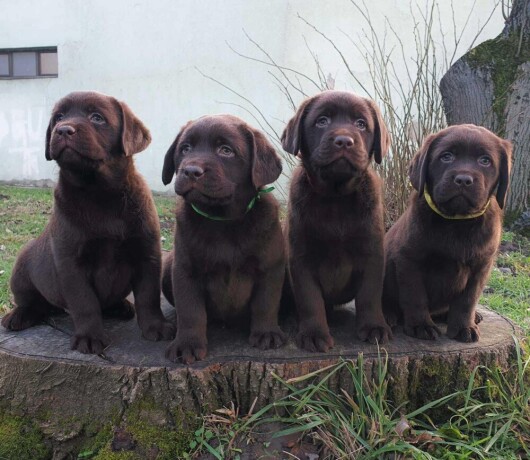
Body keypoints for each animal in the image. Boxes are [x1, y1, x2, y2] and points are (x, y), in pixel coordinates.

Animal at [2, 91, 175, 354]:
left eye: (97, 117)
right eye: (58, 117)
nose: (63, 130)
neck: (99, 192)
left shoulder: (147, 253)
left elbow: (148, 295)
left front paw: (156, 327)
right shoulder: (71, 263)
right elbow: (84, 303)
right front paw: (90, 337)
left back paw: (120, 306)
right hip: (21, 270)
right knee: (33, 302)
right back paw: (18, 316)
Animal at [161, 114, 284, 362]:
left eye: (226, 150)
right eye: (185, 149)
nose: (191, 171)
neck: (223, 219)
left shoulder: (270, 267)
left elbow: (266, 303)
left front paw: (266, 333)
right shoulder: (185, 269)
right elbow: (190, 311)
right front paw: (187, 344)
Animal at [282, 90, 390, 350]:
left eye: (361, 124)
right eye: (322, 121)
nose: (343, 141)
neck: (335, 198)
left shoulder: (372, 252)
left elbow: (370, 294)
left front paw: (374, 327)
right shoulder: (301, 257)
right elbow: (310, 299)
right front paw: (314, 334)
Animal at [382, 123, 510, 342]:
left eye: (485, 160)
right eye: (446, 156)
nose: (463, 180)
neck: (457, 221)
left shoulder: (481, 266)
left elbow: (467, 300)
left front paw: (464, 327)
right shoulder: (409, 260)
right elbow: (415, 296)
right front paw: (421, 326)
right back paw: (388, 315)